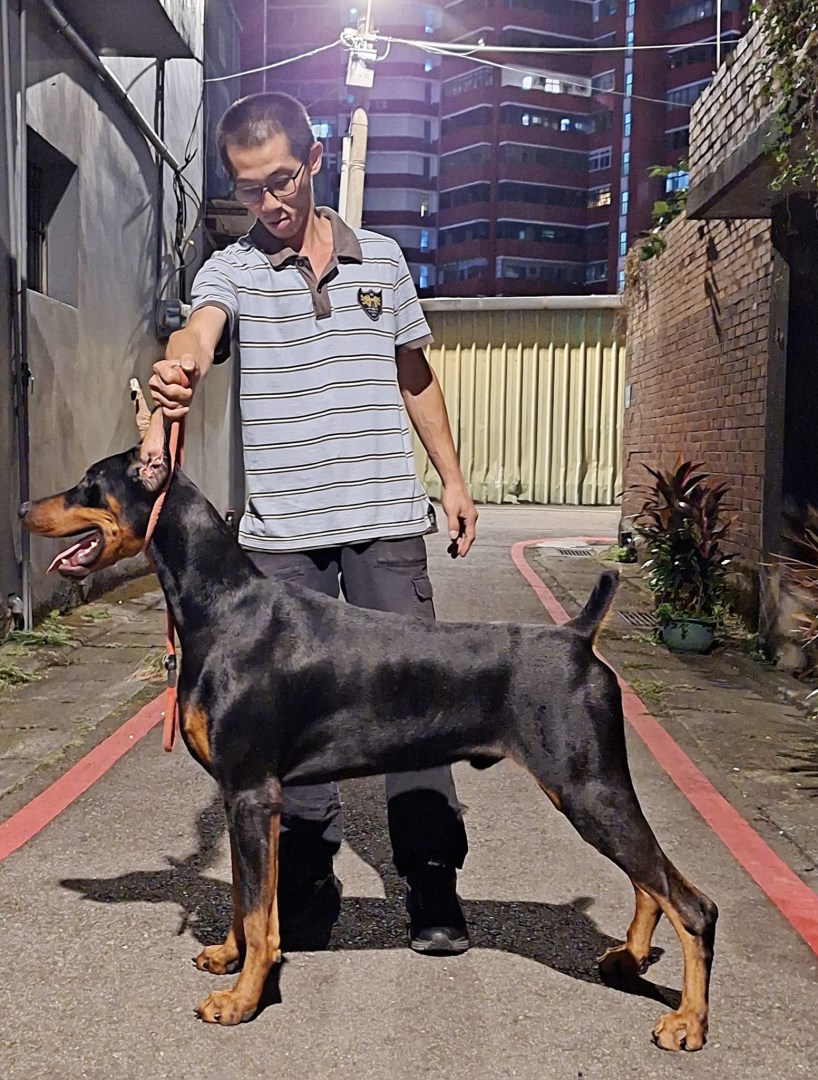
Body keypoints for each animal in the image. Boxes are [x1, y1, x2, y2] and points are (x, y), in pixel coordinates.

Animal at [19, 410, 717, 1050]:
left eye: (88, 484)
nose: (24, 505)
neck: (222, 606)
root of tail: (577, 637)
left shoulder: (251, 792)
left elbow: (260, 913)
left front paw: (241, 1001)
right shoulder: (243, 798)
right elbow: (249, 897)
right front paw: (227, 955)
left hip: (586, 785)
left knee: (693, 904)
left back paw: (687, 1021)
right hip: (592, 789)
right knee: (649, 883)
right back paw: (627, 960)